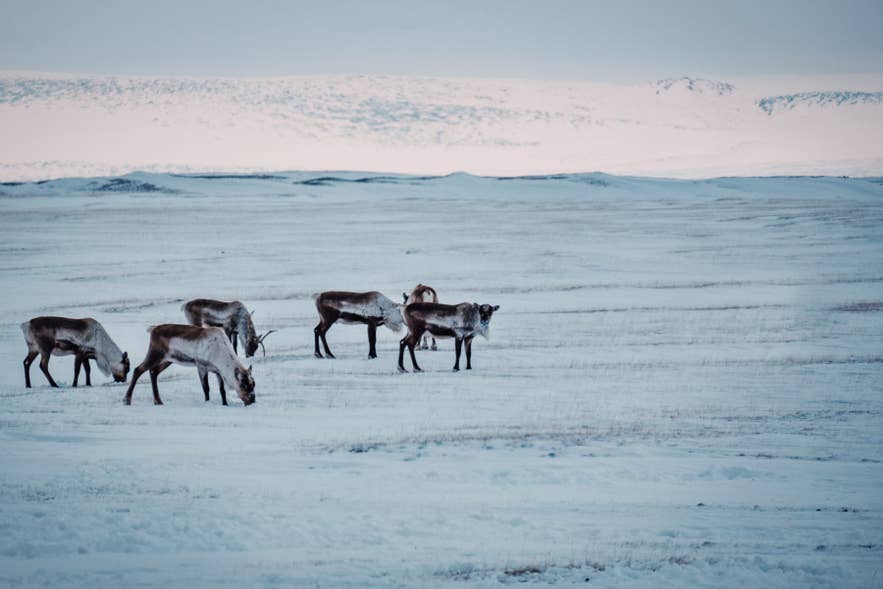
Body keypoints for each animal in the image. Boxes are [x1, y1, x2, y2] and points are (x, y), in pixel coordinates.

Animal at [124, 324, 255, 406]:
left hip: (168, 359)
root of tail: (153, 329)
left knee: (153, 372)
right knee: (138, 370)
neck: (220, 351)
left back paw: (158, 401)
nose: (252, 400)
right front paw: (207, 402)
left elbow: (222, 390)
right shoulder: (201, 366)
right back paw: (127, 400)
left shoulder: (218, 371)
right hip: (155, 354)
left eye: (253, 384)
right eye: (243, 385)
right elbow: (206, 388)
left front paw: (225, 404)